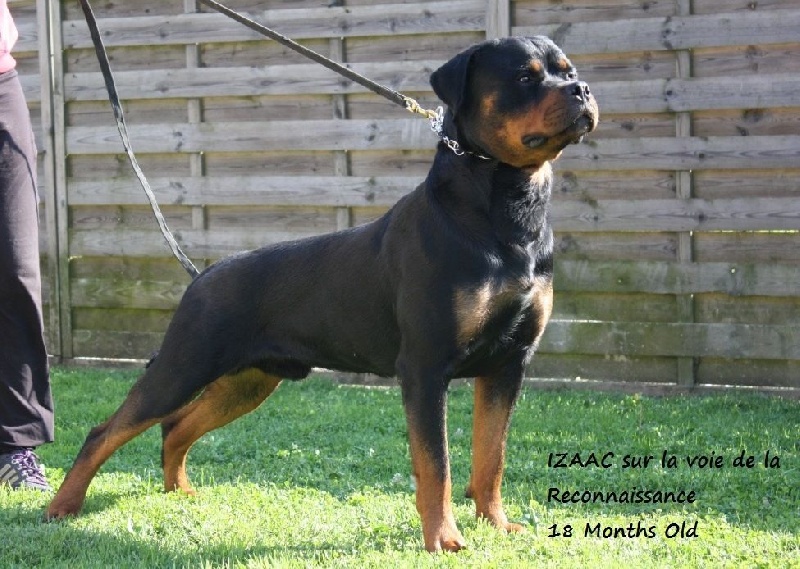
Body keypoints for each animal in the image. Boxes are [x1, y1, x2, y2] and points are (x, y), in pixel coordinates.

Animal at [46, 36, 598, 552]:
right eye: (525, 78)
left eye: (568, 71)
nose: (583, 89)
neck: (507, 215)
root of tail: (200, 277)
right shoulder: (425, 367)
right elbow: (435, 465)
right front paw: (444, 539)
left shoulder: (509, 363)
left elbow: (491, 456)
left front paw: (497, 524)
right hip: (184, 366)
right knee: (107, 431)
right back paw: (62, 507)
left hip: (248, 380)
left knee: (176, 426)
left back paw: (178, 490)